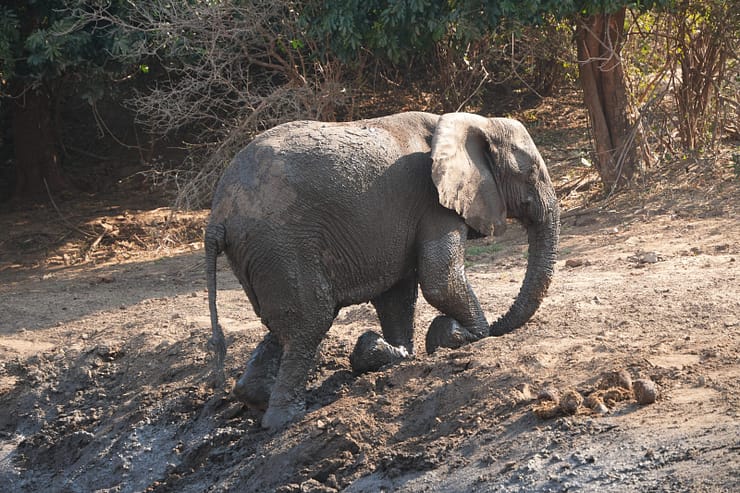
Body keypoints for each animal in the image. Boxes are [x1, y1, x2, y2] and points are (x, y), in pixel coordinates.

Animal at [205, 111, 560, 429]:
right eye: (530, 172)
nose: (499, 325)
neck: (473, 122)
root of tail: (217, 213)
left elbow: (397, 295)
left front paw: (396, 352)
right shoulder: (432, 202)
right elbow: (439, 279)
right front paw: (465, 335)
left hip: (262, 252)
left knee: (288, 323)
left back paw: (257, 396)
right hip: (280, 242)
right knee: (311, 320)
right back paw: (285, 419)